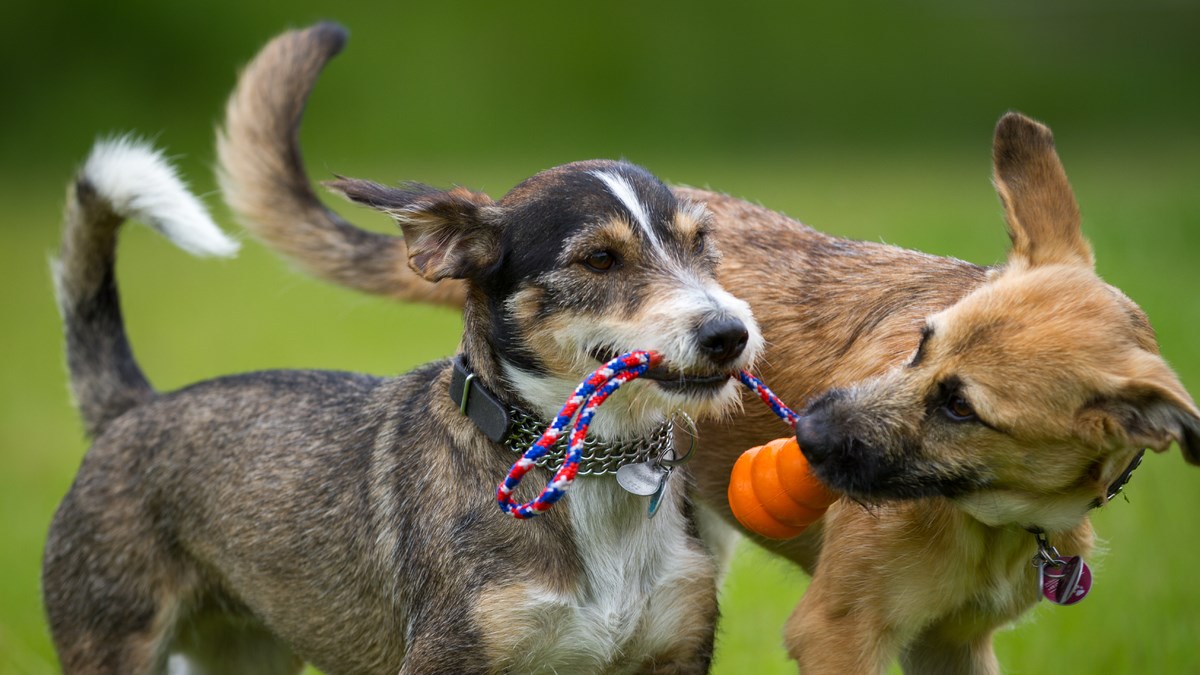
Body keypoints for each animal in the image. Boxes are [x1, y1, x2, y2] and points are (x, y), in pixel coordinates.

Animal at [218, 22, 1200, 672]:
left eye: (963, 405)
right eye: (920, 343)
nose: (808, 433)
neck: (997, 516)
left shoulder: (954, 645)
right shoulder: (838, 631)